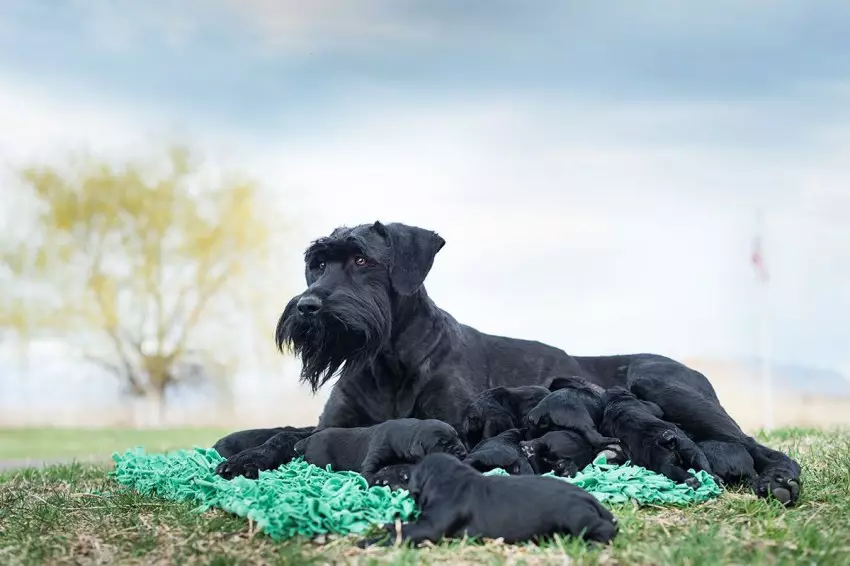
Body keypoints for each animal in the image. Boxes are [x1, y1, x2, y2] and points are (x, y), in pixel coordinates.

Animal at [215, 221, 800, 506]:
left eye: (361, 259)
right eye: (316, 264)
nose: (308, 307)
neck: (386, 361)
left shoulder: (453, 425)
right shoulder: (334, 425)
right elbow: (287, 434)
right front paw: (244, 458)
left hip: (658, 380)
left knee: (760, 447)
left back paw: (776, 481)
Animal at [358, 452, 616, 552]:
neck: (450, 477)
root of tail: (589, 497)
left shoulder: (431, 525)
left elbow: (406, 532)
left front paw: (369, 541)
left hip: (575, 516)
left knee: (606, 529)